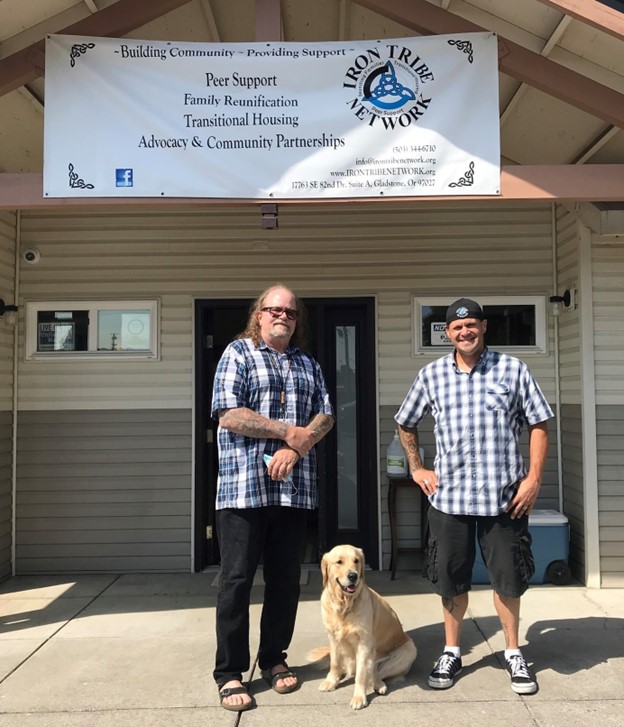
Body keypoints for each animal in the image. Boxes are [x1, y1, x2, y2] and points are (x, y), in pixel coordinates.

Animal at [310, 544, 416, 712]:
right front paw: (331, 681)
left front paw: (359, 697)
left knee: (375, 673)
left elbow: (361, 675)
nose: (353, 576)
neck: (344, 605)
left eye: (356, 561)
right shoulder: (332, 637)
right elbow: (334, 662)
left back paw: (379, 685)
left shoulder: (364, 643)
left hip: (409, 650)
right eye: (339, 562)